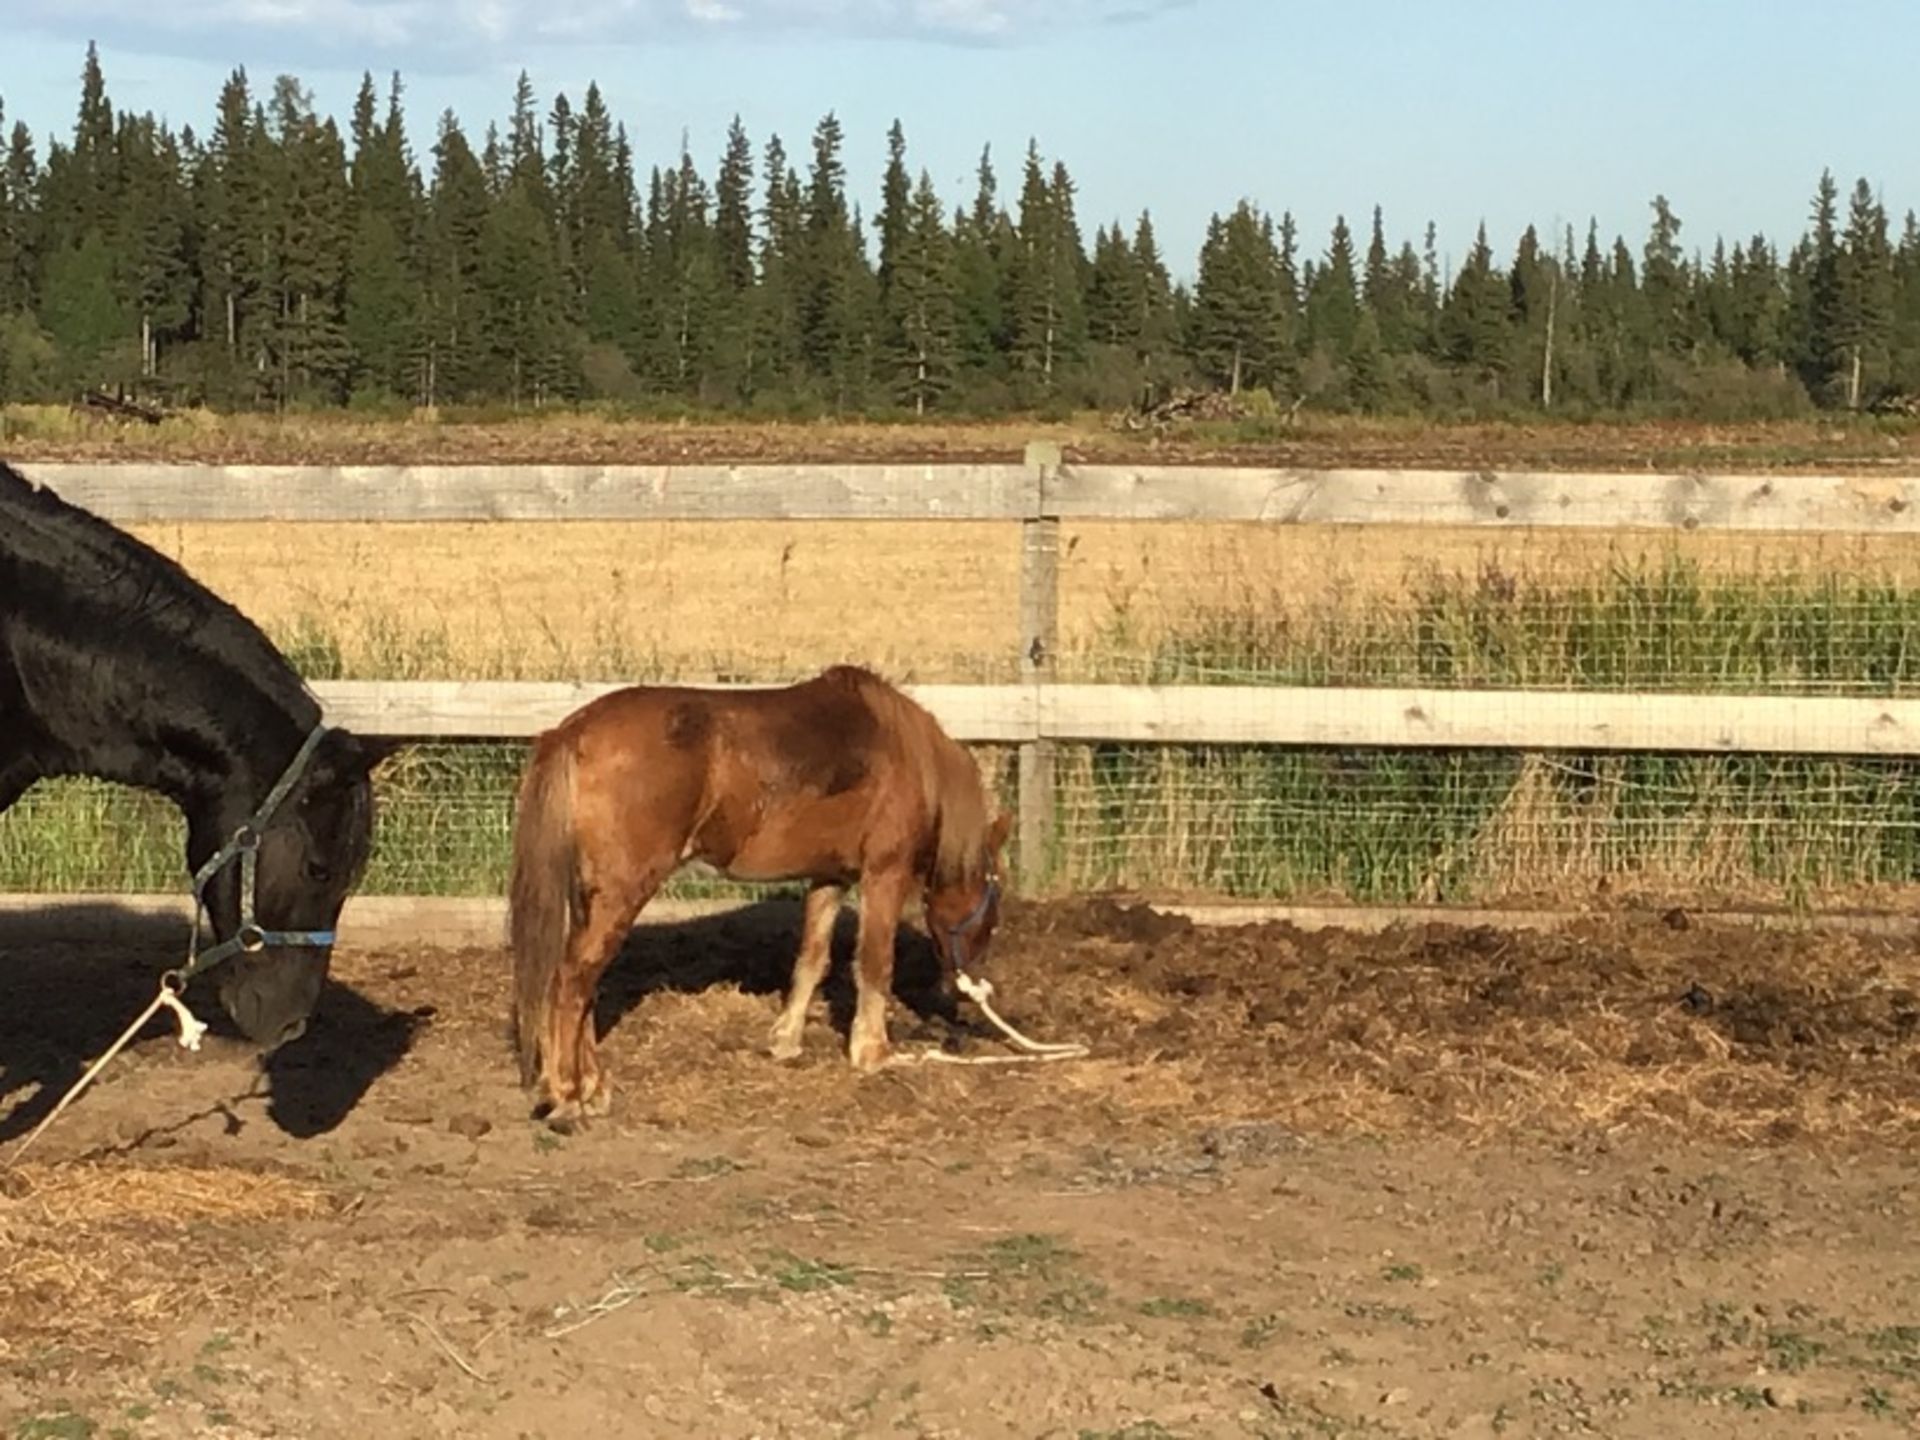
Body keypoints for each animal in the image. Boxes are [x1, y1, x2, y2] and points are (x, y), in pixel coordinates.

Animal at [510, 664, 1021, 1128]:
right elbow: (876, 963)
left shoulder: (829, 878)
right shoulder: (883, 874)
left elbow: (813, 958)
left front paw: (785, 1039)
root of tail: (571, 732)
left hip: (591, 896)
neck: (903, 752)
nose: (969, 987)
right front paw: (872, 1052)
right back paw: (568, 1094)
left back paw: (591, 1088)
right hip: (620, 893)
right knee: (573, 980)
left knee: (580, 984)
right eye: (993, 910)